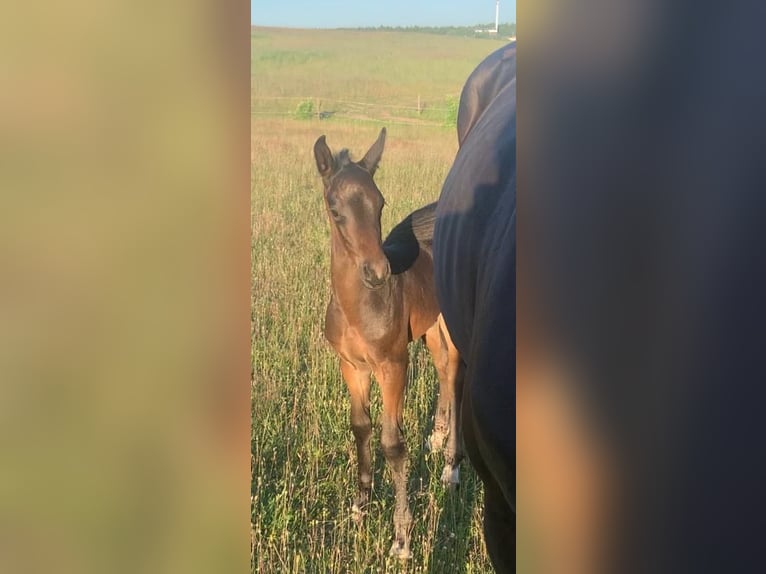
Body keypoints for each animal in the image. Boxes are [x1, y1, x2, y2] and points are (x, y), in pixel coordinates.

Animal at [312, 128, 462, 560]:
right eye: (335, 208)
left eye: (379, 203)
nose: (378, 272)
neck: (359, 306)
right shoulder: (351, 366)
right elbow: (360, 427)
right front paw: (359, 508)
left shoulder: (394, 365)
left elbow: (392, 444)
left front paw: (401, 539)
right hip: (430, 329)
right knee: (444, 372)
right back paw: (437, 438)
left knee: (456, 376)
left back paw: (451, 467)